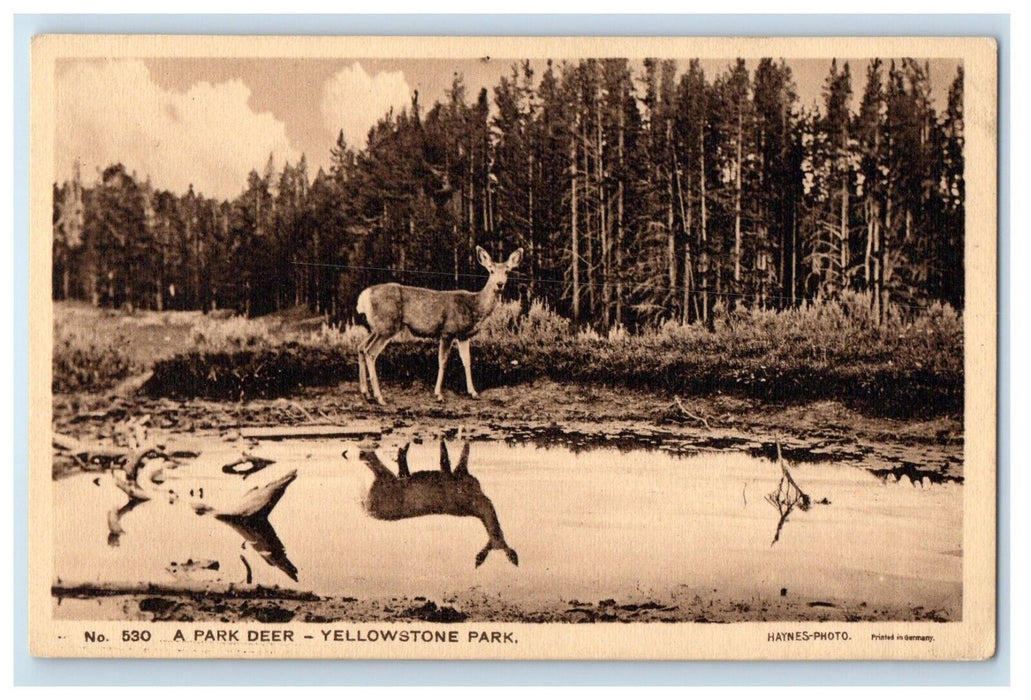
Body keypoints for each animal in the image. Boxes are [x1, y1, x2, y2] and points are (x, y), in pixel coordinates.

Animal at [356, 245, 523, 406]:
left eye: (507, 270)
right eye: (491, 270)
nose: (500, 284)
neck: (474, 306)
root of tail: (364, 296)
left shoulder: (463, 336)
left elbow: (467, 361)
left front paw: (473, 393)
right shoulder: (448, 331)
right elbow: (442, 361)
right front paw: (438, 395)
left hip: (377, 327)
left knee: (361, 347)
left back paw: (366, 394)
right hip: (388, 325)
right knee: (370, 352)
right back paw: (379, 397)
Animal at [360, 441, 519, 564]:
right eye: (494, 543)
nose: (497, 537)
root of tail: (367, 508)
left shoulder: (457, 473)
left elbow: (455, 454)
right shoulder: (457, 474)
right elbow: (452, 454)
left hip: (384, 481)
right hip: (387, 481)